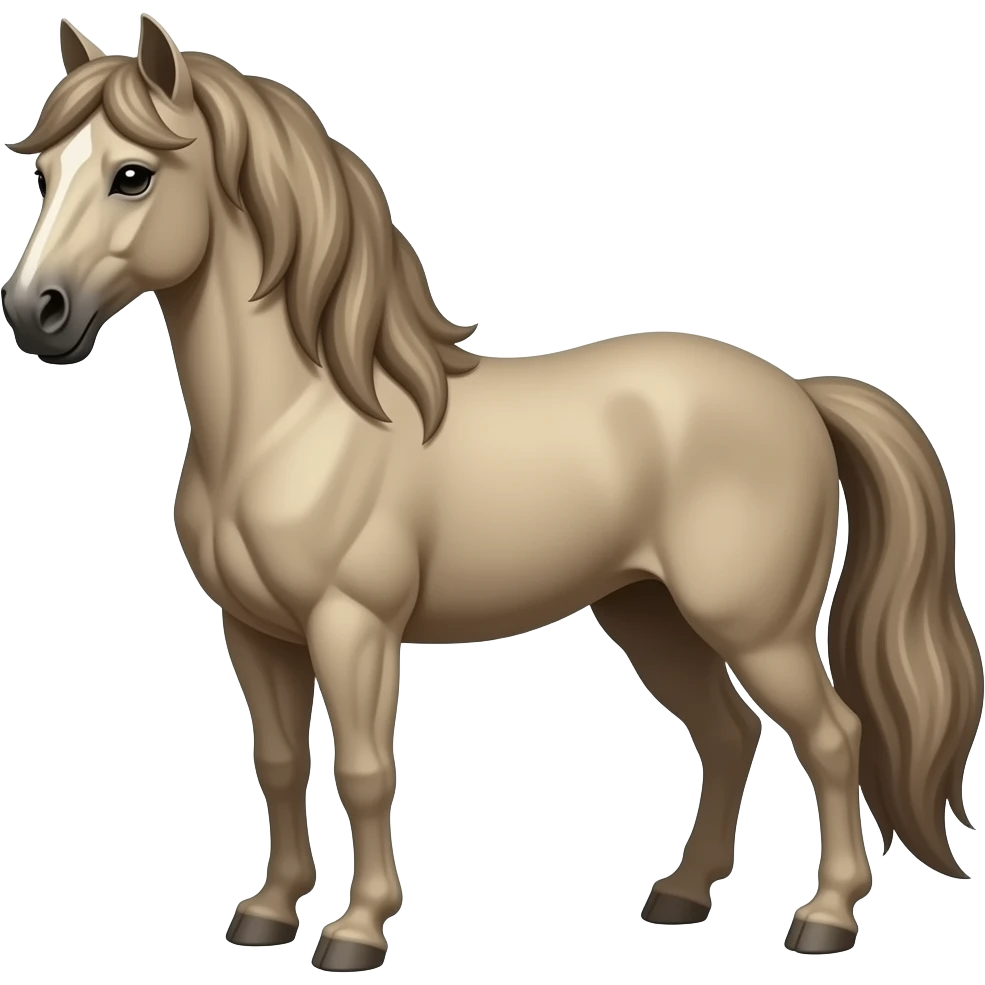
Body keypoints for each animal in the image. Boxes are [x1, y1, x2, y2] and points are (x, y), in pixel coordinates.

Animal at [3, 14, 981, 973]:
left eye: (133, 175)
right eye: (47, 174)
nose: (34, 312)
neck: (295, 418)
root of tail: (799, 394)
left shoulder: (352, 625)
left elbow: (365, 769)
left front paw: (357, 931)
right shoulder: (253, 630)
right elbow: (277, 762)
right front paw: (269, 912)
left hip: (753, 625)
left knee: (832, 735)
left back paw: (825, 918)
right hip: (651, 615)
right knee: (728, 734)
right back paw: (679, 896)